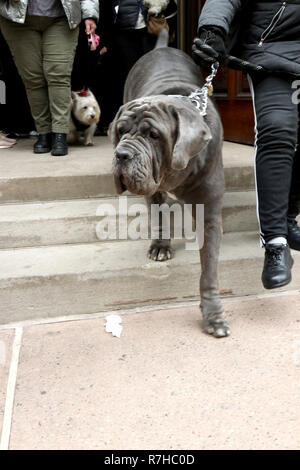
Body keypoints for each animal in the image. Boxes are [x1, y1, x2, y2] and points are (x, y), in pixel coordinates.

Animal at [110, 31, 230, 338]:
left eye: (154, 135)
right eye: (120, 131)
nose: (121, 154)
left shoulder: (210, 214)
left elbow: (209, 269)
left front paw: (213, 314)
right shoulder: (153, 193)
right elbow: (159, 216)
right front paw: (160, 246)